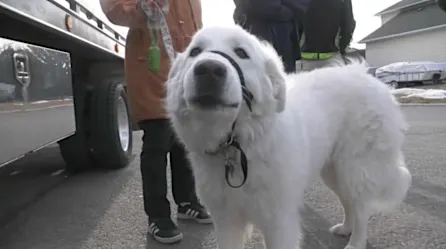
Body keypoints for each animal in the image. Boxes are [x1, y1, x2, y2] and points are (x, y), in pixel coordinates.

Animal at [164, 24, 412, 249]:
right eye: (195, 52)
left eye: (241, 53)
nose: (208, 68)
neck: (238, 146)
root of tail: (369, 78)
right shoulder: (227, 221)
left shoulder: (279, 222)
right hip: (333, 171)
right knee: (349, 202)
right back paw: (345, 228)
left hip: (355, 169)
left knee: (361, 208)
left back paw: (355, 242)